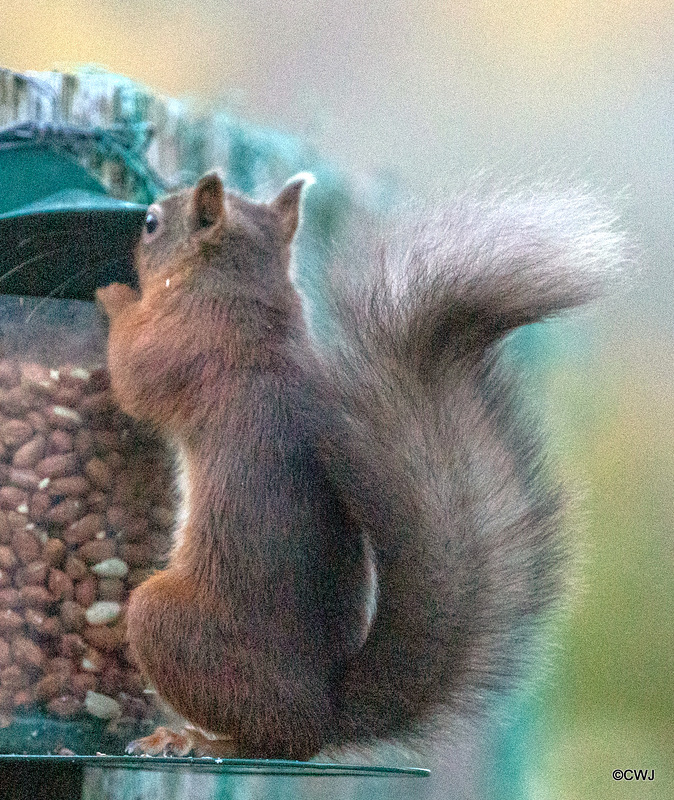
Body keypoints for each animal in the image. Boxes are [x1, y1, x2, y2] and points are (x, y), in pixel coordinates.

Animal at [97, 172, 624, 760]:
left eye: (151, 223)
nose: (135, 229)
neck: (244, 296)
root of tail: (324, 720)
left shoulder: (179, 347)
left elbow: (130, 375)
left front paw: (115, 299)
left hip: (168, 624)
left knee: (264, 741)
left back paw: (192, 738)